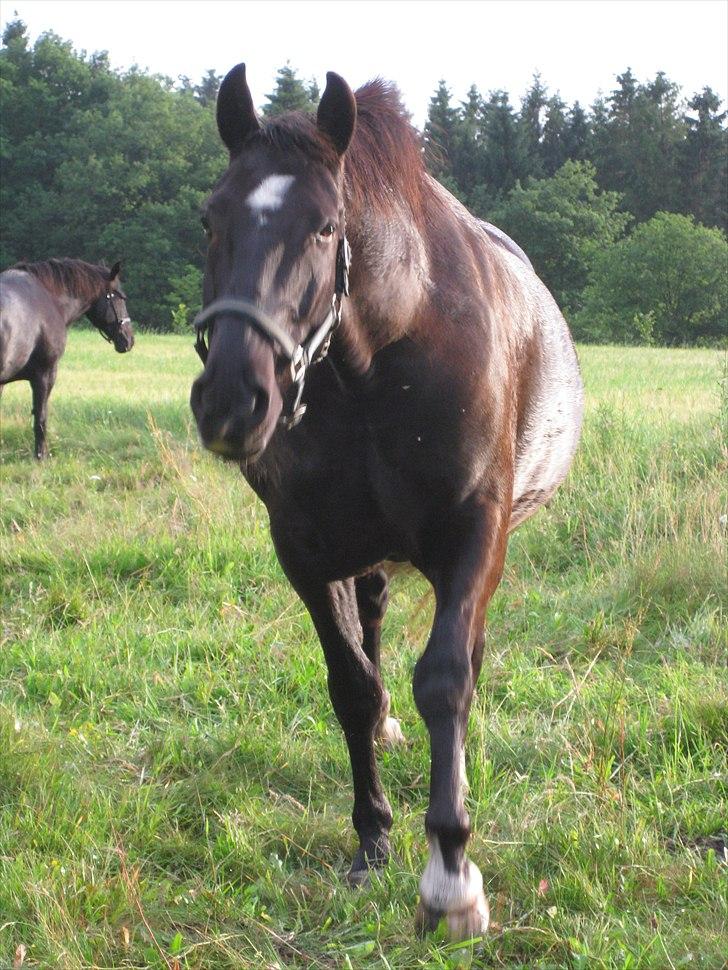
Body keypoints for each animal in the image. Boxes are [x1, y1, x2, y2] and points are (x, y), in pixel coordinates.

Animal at [0, 255, 135, 456]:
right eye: (121, 298)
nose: (129, 339)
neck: (49, 297)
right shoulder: (45, 374)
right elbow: (41, 418)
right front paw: (41, 456)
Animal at [191, 62, 584, 936]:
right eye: (210, 217)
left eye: (325, 227)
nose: (232, 400)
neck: (379, 363)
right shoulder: (305, 547)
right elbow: (353, 685)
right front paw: (372, 836)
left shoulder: (475, 535)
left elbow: (446, 679)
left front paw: (450, 875)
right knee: (370, 629)